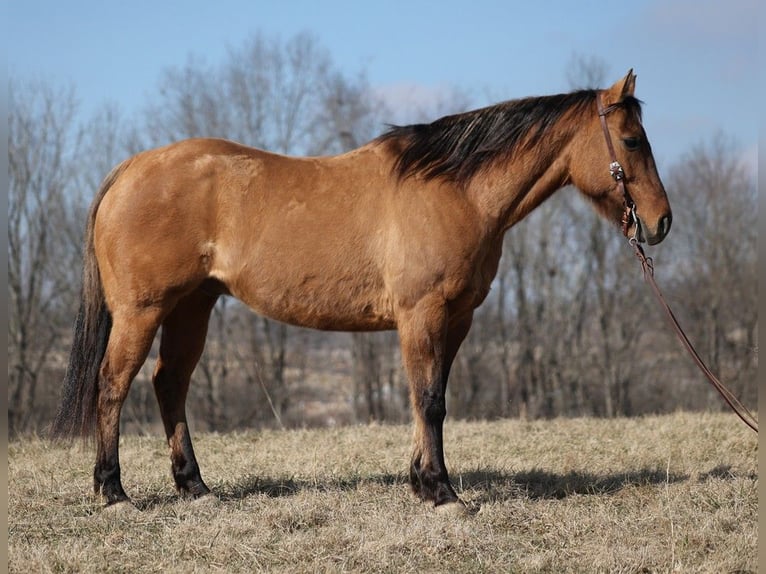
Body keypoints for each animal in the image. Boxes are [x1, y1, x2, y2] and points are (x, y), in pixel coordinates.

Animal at [52, 70, 672, 516]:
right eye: (633, 140)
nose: (661, 222)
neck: (456, 190)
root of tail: (131, 169)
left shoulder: (457, 320)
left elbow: (430, 398)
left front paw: (421, 481)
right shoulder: (423, 314)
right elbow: (430, 399)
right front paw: (442, 492)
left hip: (192, 308)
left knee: (169, 385)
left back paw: (194, 486)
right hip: (143, 311)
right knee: (113, 385)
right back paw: (114, 492)